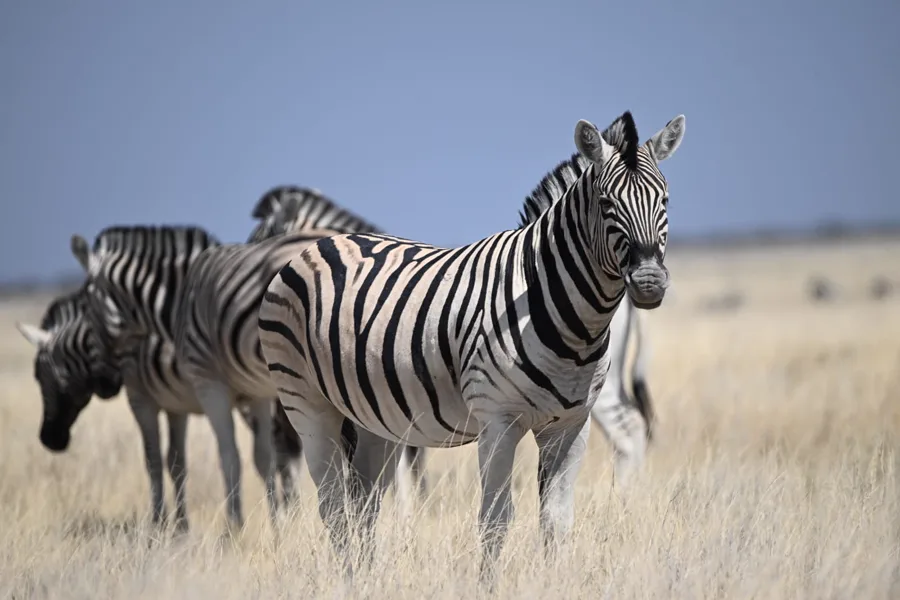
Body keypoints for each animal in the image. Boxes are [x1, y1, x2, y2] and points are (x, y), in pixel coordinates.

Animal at [256, 110, 685, 580]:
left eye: (665, 201)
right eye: (607, 203)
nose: (649, 283)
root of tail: (322, 243)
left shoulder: (571, 424)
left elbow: (556, 519)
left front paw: (555, 581)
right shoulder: (498, 422)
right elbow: (495, 518)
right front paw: (488, 584)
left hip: (372, 417)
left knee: (363, 504)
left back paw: (367, 579)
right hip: (306, 403)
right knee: (333, 506)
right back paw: (350, 581)